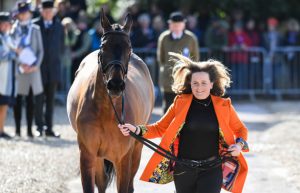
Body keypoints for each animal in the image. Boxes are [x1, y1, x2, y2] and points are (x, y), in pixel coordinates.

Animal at [66, 12, 155, 193]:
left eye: (129, 48)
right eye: (103, 47)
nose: (115, 85)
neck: (107, 111)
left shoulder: (123, 158)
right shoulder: (88, 155)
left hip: (136, 150)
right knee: (102, 182)